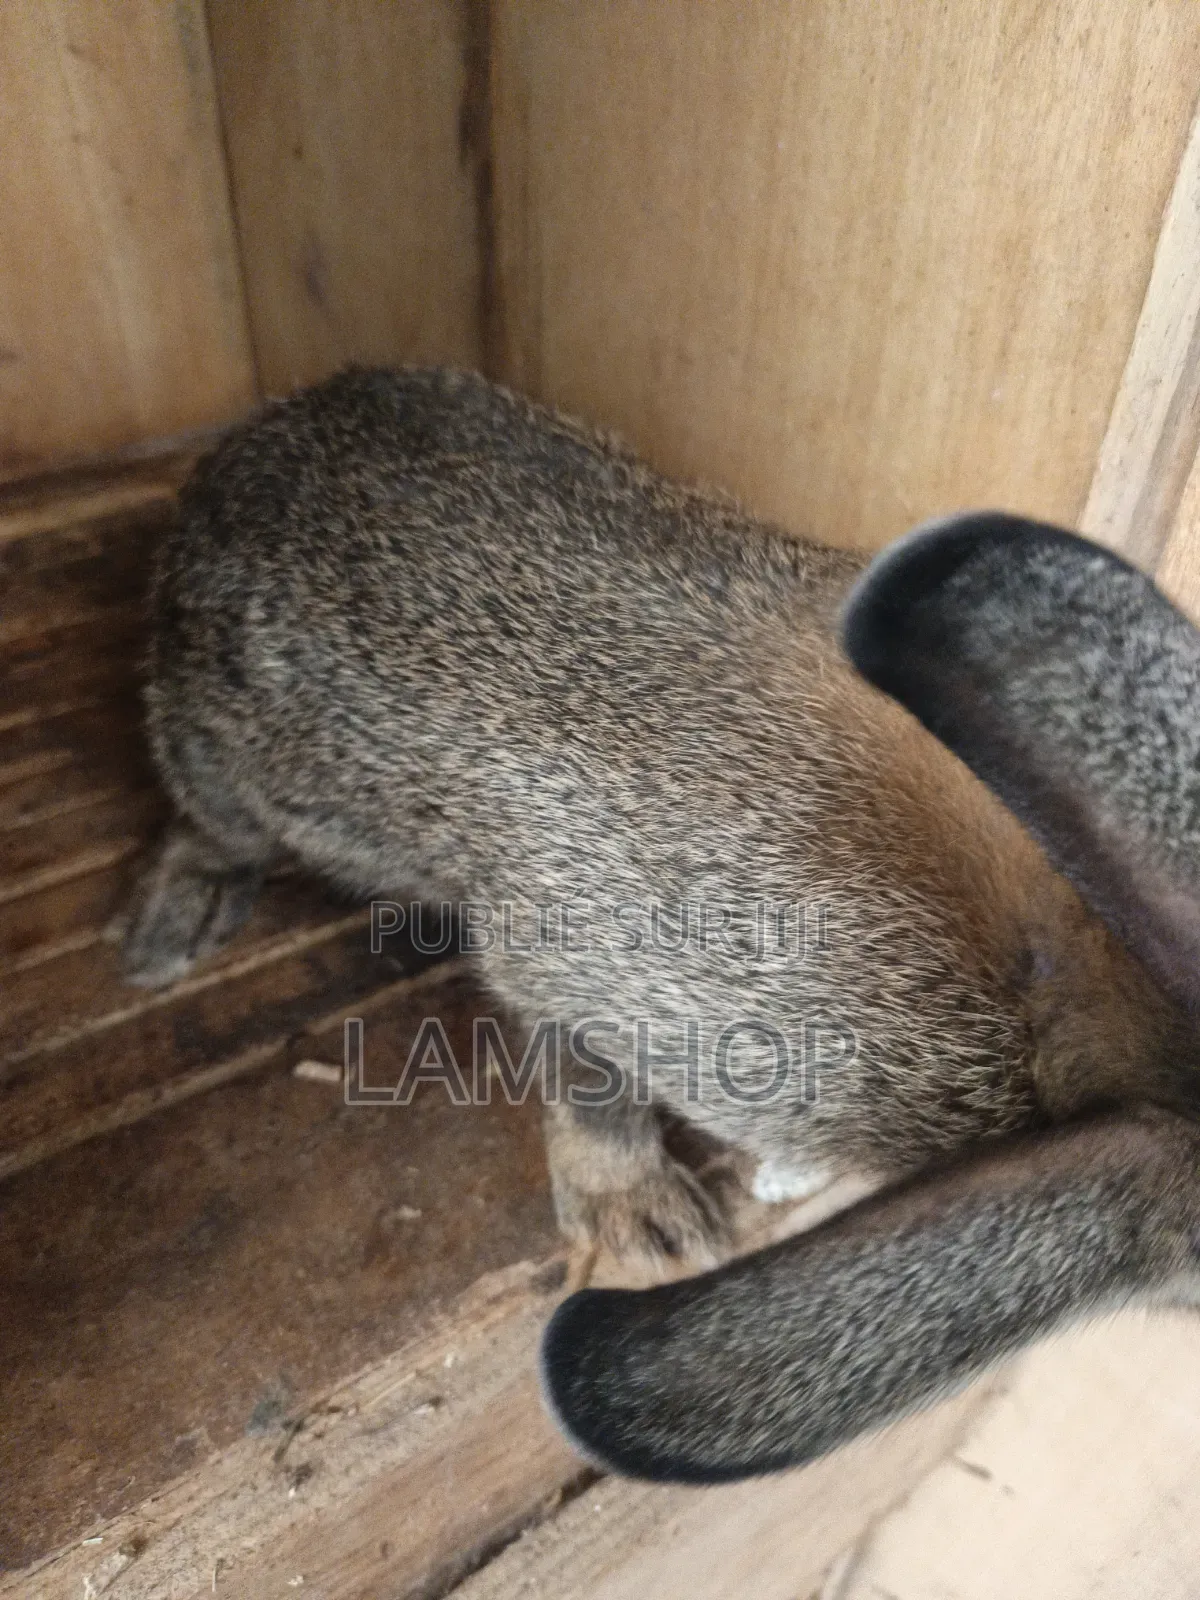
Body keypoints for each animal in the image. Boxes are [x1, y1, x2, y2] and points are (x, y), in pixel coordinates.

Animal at [121, 366, 1200, 1473]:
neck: (1051, 983)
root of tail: (230, 465)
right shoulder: (601, 969)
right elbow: (587, 1083)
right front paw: (647, 1222)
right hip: (221, 748)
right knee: (210, 817)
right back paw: (174, 925)